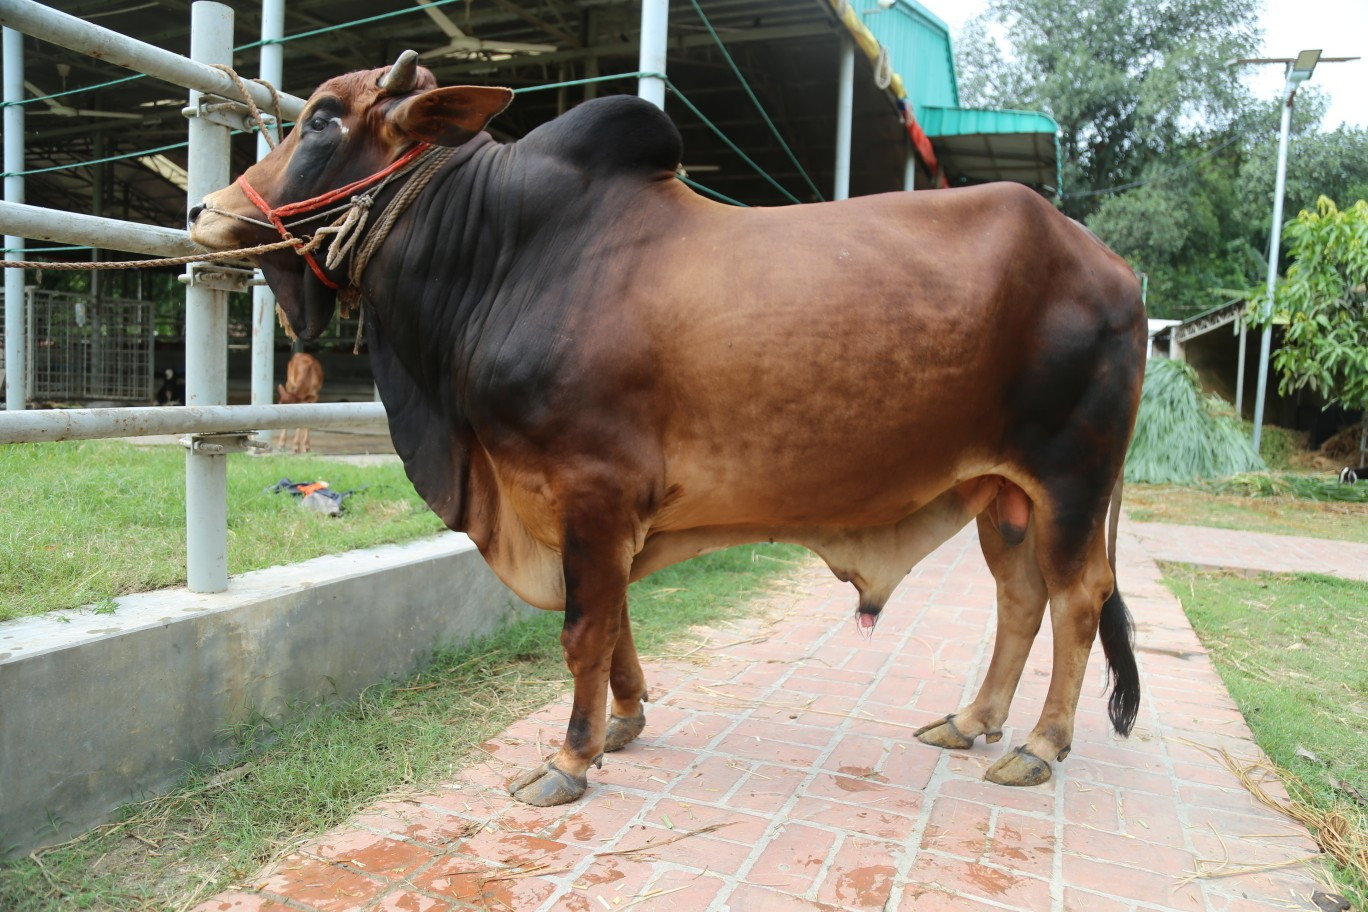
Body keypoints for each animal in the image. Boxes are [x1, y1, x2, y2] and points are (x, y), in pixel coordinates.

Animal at [189, 51, 1147, 807]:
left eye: (320, 117)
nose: (204, 211)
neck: (499, 254)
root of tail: (1113, 266)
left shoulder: (591, 489)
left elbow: (583, 627)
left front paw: (568, 759)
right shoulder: (584, 507)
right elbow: (612, 617)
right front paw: (623, 722)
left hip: (1070, 479)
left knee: (1076, 599)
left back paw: (1038, 746)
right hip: (1000, 494)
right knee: (1019, 597)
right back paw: (975, 719)